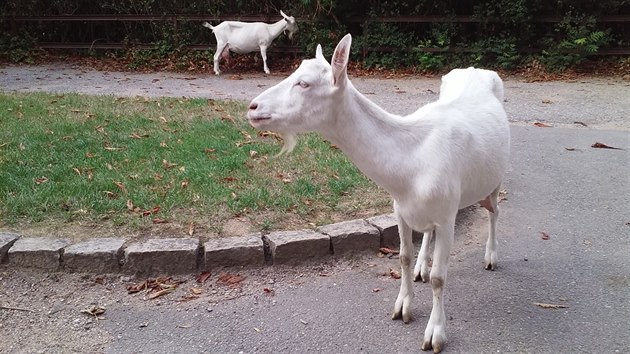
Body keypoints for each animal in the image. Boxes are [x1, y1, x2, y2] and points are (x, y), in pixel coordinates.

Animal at [248, 32, 512, 352]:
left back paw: (491, 257)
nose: (253, 107)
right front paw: (403, 307)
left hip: (495, 178)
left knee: (494, 211)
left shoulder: (448, 214)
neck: (410, 165)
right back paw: (422, 267)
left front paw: (435, 334)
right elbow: (403, 256)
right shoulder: (399, 208)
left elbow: (439, 278)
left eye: (304, 83)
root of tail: (476, 69)